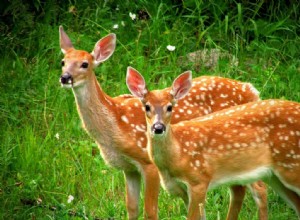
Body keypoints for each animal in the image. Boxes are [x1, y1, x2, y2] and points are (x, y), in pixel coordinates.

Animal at [59, 26, 268, 219]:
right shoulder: (129, 168)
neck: (115, 124)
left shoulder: (148, 162)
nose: (65, 77)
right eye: (63, 62)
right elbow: (132, 208)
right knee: (239, 189)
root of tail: (252, 91)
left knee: (258, 189)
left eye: (85, 64)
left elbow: (150, 211)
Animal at [127, 71, 300, 220]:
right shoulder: (180, 189)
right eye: (147, 106)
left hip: (291, 165)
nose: (158, 128)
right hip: (274, 176)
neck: (178, 153)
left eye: (170, 107)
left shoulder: (198, 180)